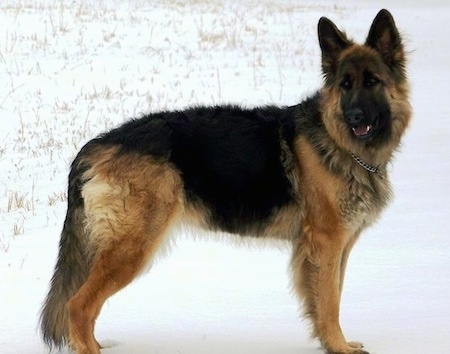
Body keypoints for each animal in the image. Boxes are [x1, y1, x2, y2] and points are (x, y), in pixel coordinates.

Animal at [40, 9, 410, 354]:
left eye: (372, 81)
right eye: (345, 85)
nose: (355, 118)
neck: (337, 142)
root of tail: (96, 144)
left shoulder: (337, 248)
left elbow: (329, 299)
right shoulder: (327, 243)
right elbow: (329, 301)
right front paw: (338, 346)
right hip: (132, 247)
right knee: (78, 306)